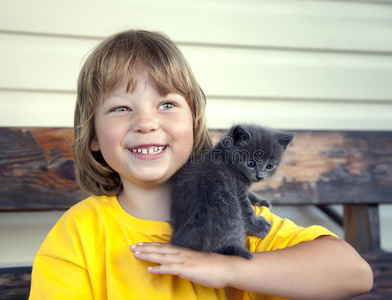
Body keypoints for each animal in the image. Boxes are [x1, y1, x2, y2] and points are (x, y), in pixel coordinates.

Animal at [169, 123, 294, 258]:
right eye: (251, 163)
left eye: (270, 165)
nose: (260, 176)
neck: (226, 158)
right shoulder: (238, 189)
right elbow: (247, 210)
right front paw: (258, 226)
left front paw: (262, 201)